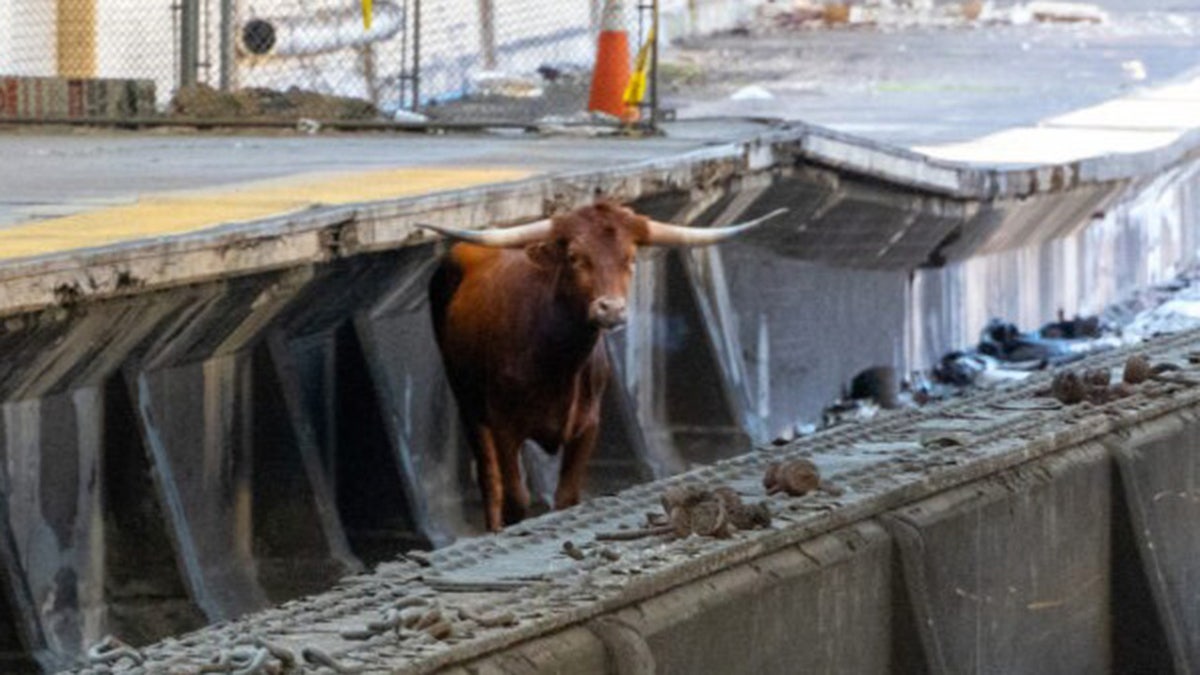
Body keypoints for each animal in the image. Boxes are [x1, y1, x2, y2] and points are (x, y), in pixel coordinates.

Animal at [422, 199, 787, 530]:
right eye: (575, 257)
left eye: (631, 258)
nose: (611, 309)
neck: (555, 364)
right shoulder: (504, 425)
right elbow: (516, 499)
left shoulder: (588, 425)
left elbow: (567, 497)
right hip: (468, 404)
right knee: (490, 481)